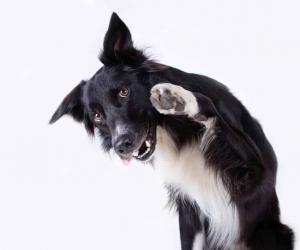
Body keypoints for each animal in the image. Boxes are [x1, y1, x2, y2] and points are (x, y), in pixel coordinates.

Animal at [50, 12, 294, 250]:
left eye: (123, 92)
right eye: (97, 116)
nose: (122, 146)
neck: (177, 131)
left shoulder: (252, 174)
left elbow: (210, 109)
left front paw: (177, 98)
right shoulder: (190, 213)